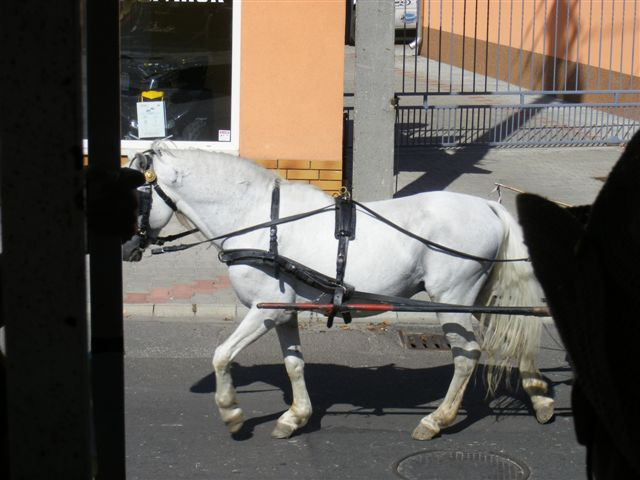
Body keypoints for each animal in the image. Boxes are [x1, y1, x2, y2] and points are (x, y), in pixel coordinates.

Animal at [126, 144, 556, 440]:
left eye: (133, 196)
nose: (125, 248)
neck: (259, 219)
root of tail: (488, 207)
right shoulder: (284, 311)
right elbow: (294, 364)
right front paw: (295, 416)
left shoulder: (264, 310)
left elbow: (221, 355)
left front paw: (231, 413)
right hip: (477, 296)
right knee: (515, 340)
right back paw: (539, 397)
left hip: (453, 298)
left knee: (467, 355)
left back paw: (437, 420)